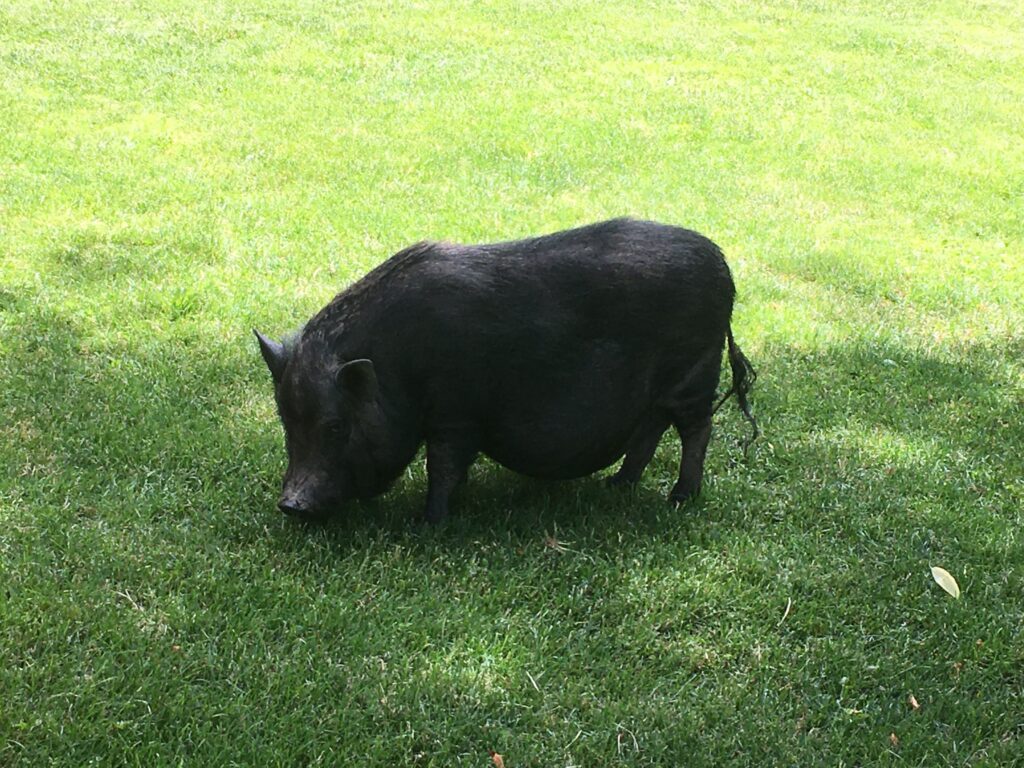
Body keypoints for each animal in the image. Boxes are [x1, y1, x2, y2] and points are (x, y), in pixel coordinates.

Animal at [255, 217, 756, 523]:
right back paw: (617, 486)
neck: (398, 367)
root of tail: (723, 264)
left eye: (336, 426)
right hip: (659, 389)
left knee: (696, 430)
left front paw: (427, 523)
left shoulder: (455, 413)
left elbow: (443, 468)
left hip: (695, 372)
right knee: (650, 431)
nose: (289, 504)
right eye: (287, 422)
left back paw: (679, 499)